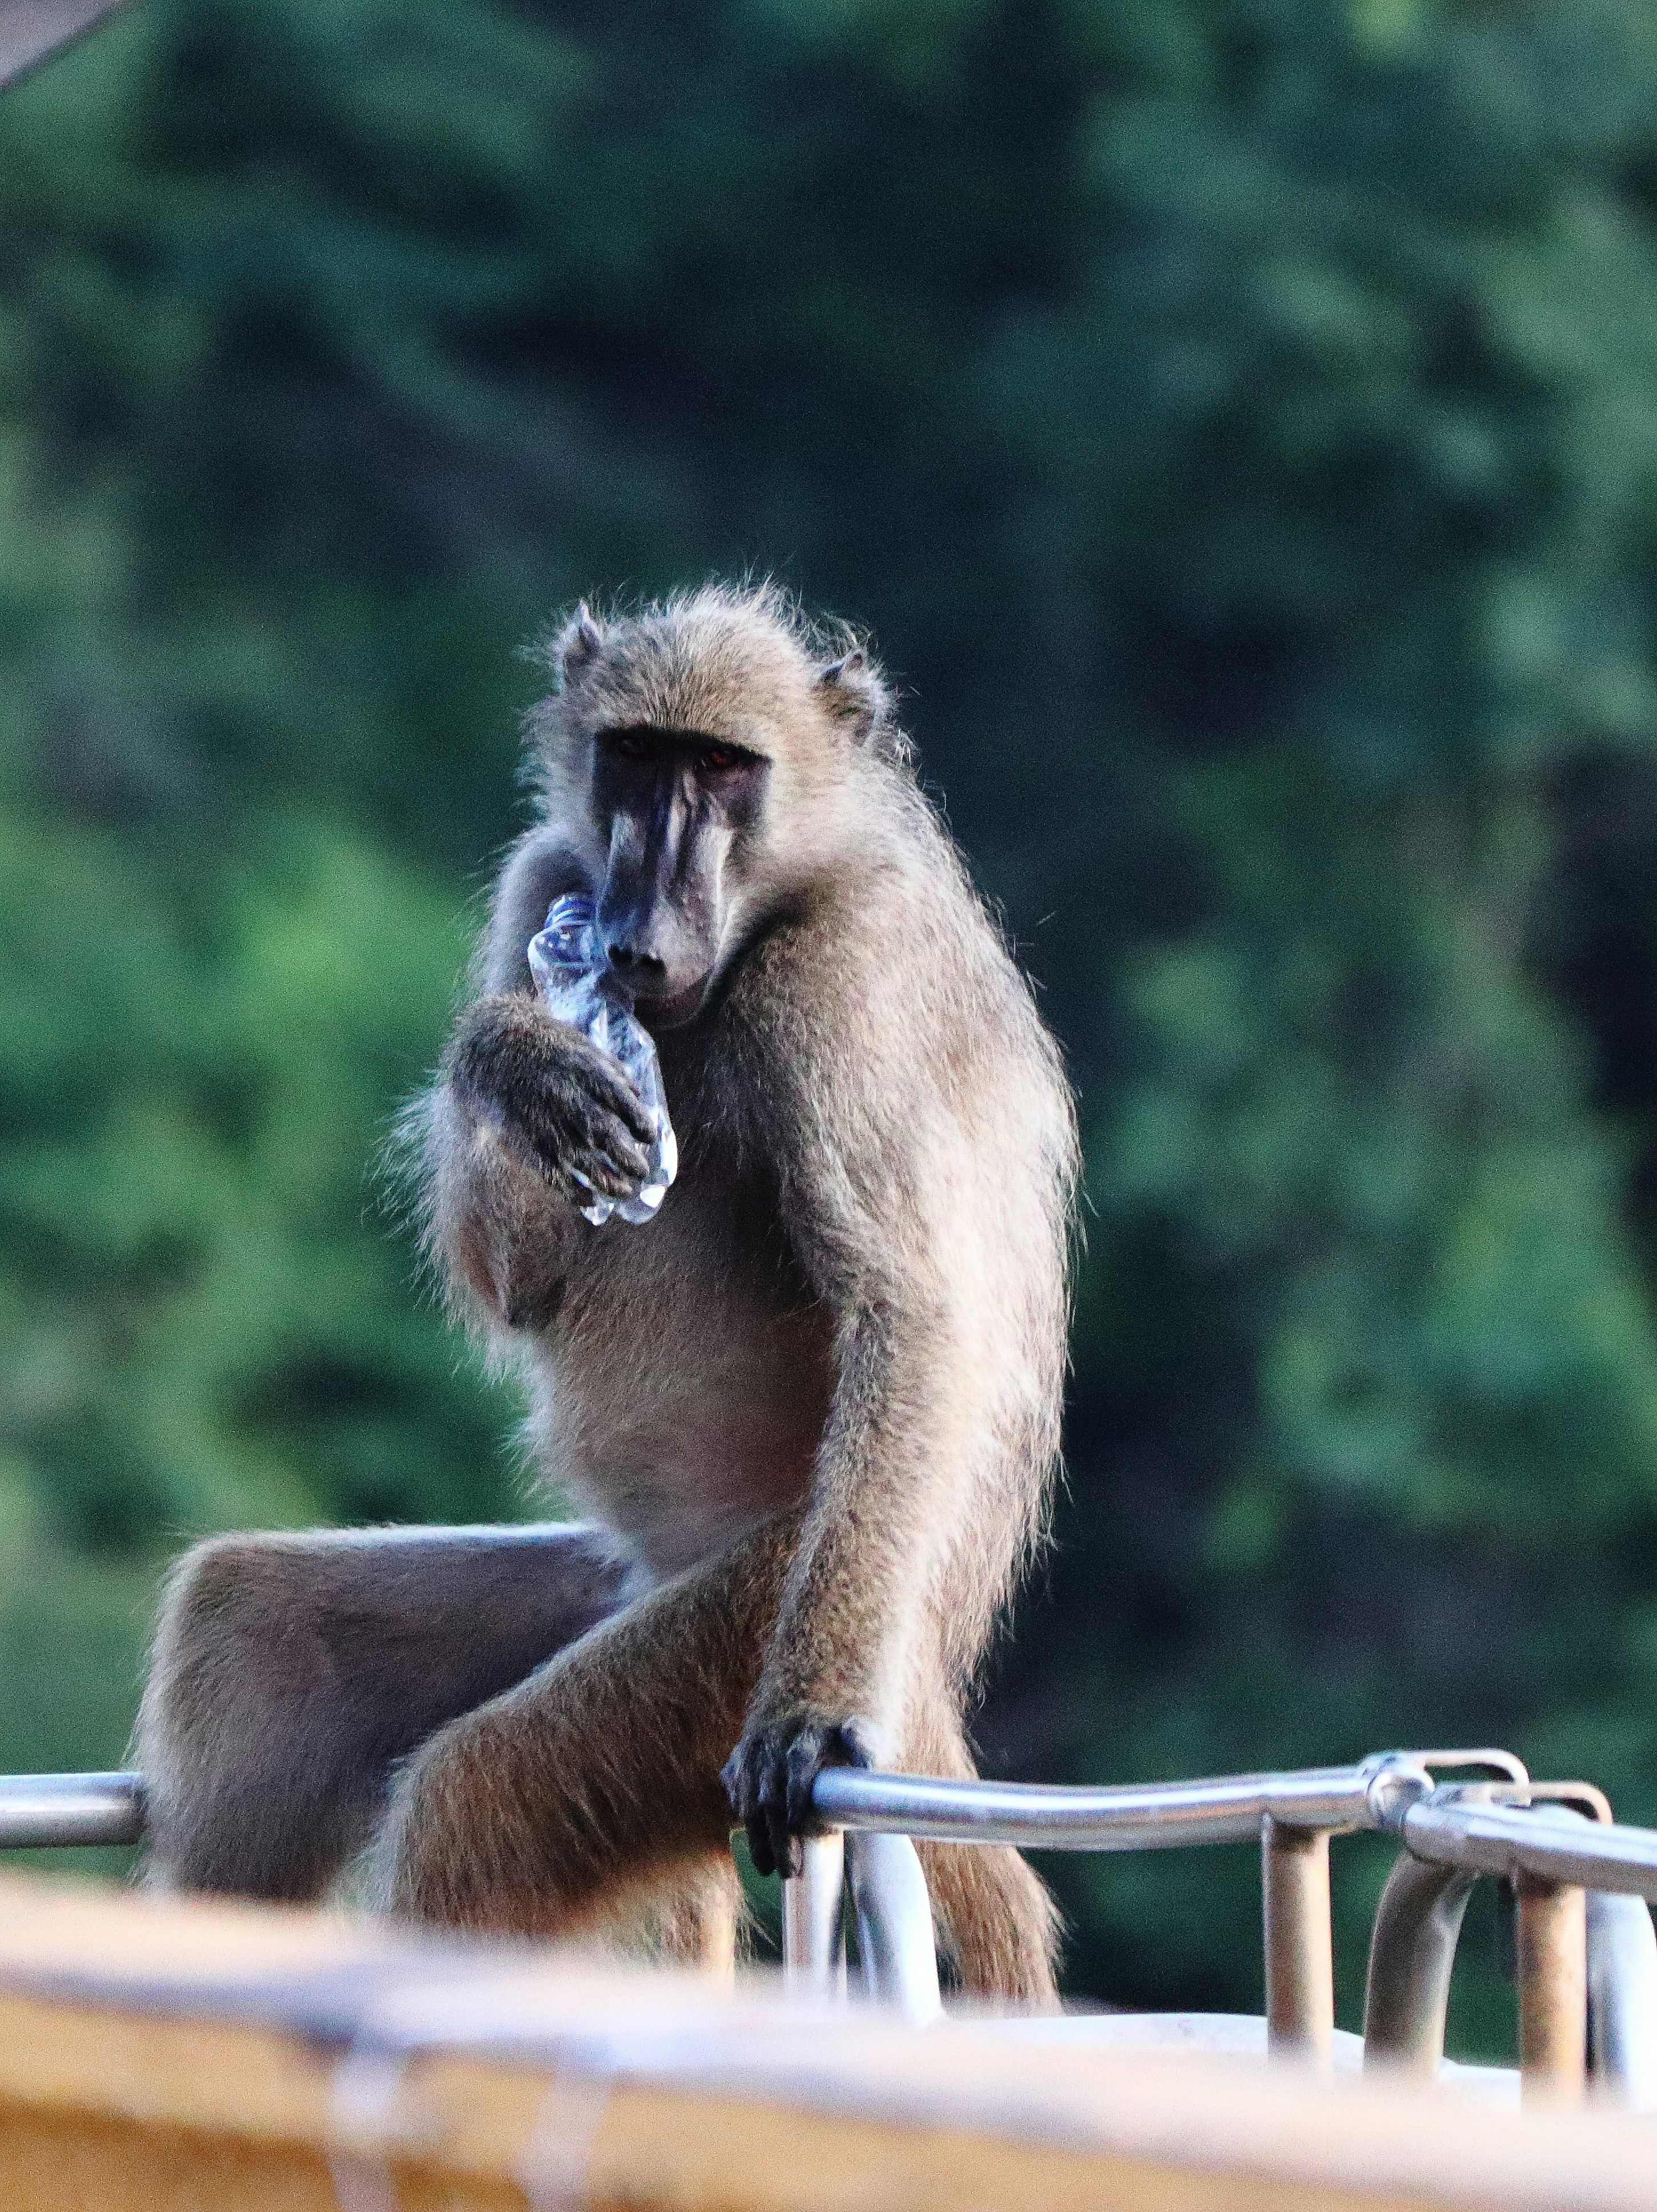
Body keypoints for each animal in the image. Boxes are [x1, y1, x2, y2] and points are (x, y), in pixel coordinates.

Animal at [136, 584, 1077, 2002]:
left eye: (724, 771)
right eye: (636, 757)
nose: (634, 936)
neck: (772, 909)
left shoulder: (844, 984)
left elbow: (910, 1312)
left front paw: (809, 1727)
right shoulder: (546, 878)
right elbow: (516, 1282)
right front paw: (515, 1058)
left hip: (743, 1622)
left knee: (479, 1801)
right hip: (611, 1592)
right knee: (256, 1632)